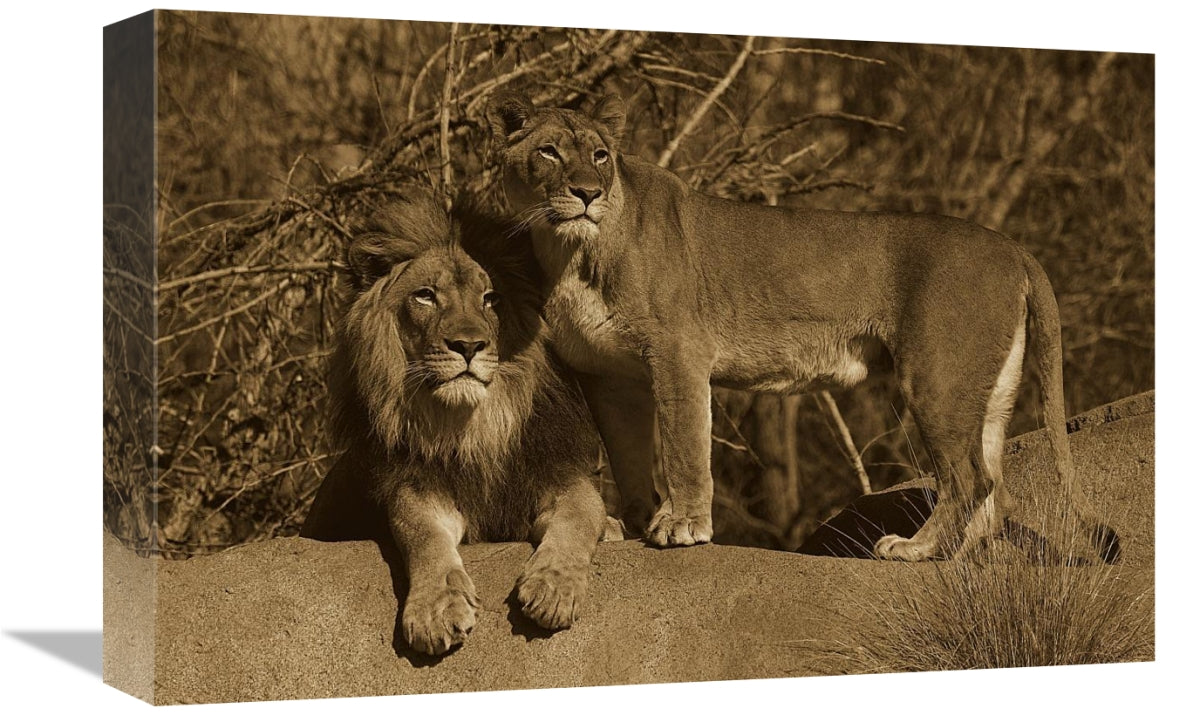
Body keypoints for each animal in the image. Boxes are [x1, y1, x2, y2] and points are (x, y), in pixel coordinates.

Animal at [300, 191, 608, 655]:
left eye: (491, 298)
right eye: (426, 295)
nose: (468, 345)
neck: (473, 427)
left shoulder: (559, 474)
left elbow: (583, 515)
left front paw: (553, 589)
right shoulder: (418, 487)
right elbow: (422, 536)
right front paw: (436, 609)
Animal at [484, 91, 1119, 563]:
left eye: (599, 155)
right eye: (548, 152)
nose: (587, 194)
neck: (569, 249)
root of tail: (1013, 245)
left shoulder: (678, 352)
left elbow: (684, 445)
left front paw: (682, 525)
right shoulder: (609, 375)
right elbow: (630, 455)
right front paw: (632, 523)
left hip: (937, 377)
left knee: (969, 481)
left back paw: (914, 550)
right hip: (987, 388)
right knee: (995, 485)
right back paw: (960, 561)